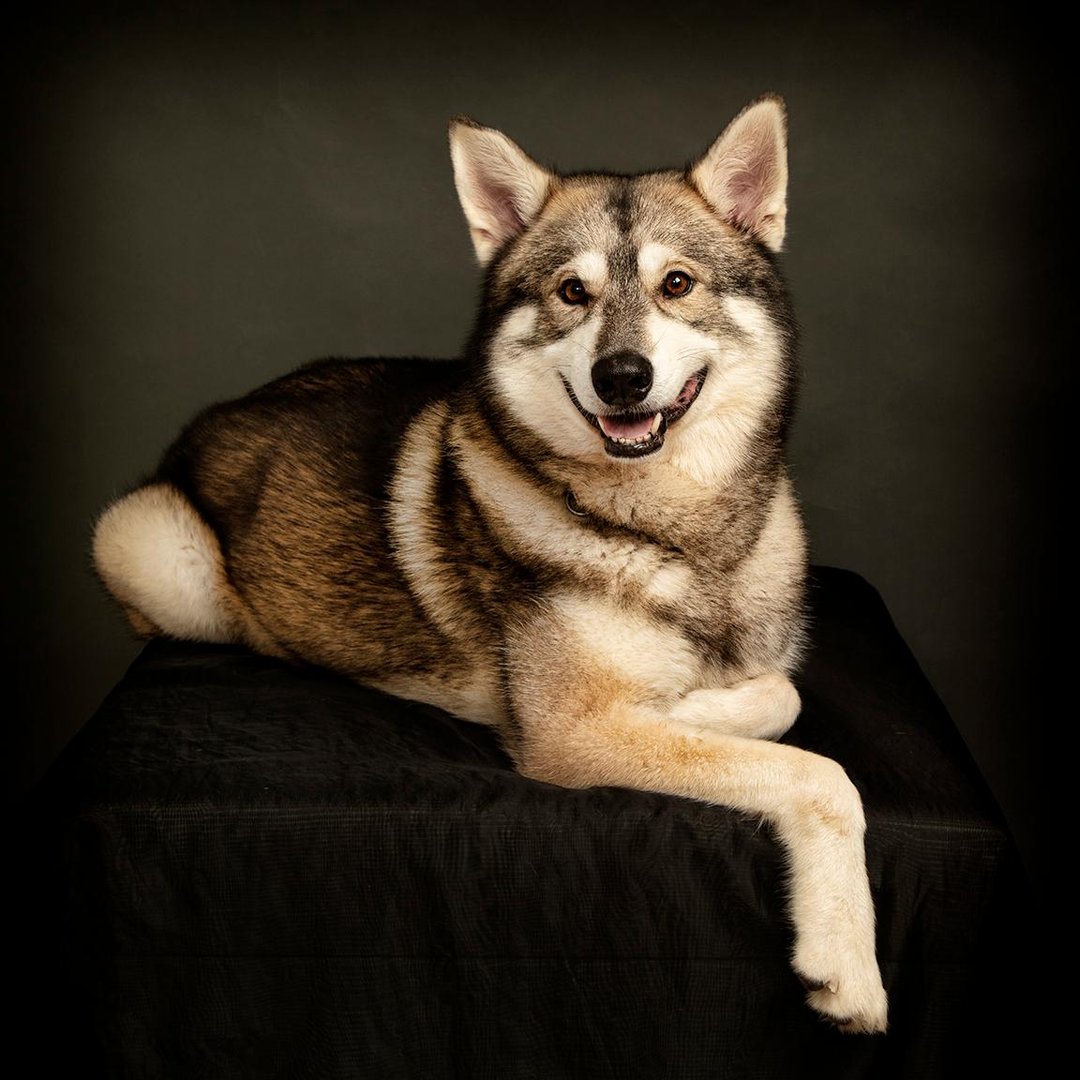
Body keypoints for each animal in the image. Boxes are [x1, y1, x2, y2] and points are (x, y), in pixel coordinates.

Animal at [92, 95, 888, 1033]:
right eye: (573, 292)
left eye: (678, 284)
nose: (623, 376)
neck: (669, 532)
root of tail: (218, 412)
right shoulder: (573, 734)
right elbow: (818, 772)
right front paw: (848, 962)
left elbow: (780, 694)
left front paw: (696, 706)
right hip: (150, 546)